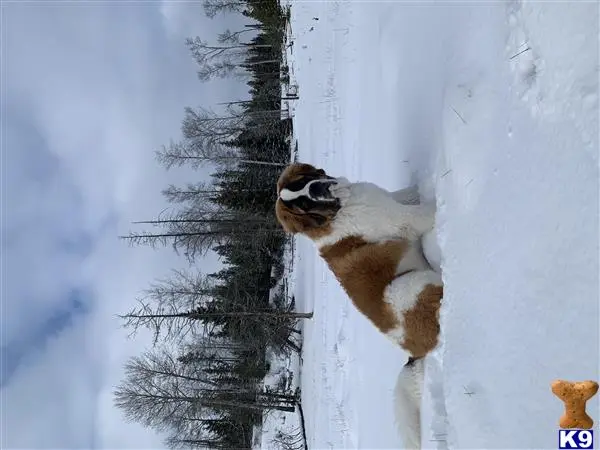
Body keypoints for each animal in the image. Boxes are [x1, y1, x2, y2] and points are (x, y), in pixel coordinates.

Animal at [276, 163, 440, 448]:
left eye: (303, 181)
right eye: (304, 204)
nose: (320, 187)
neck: (341, 207)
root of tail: (415, 354)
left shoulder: (390, 200)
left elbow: (407, 194)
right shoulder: (405, 219)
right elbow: (425, 211)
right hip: (403, 286)